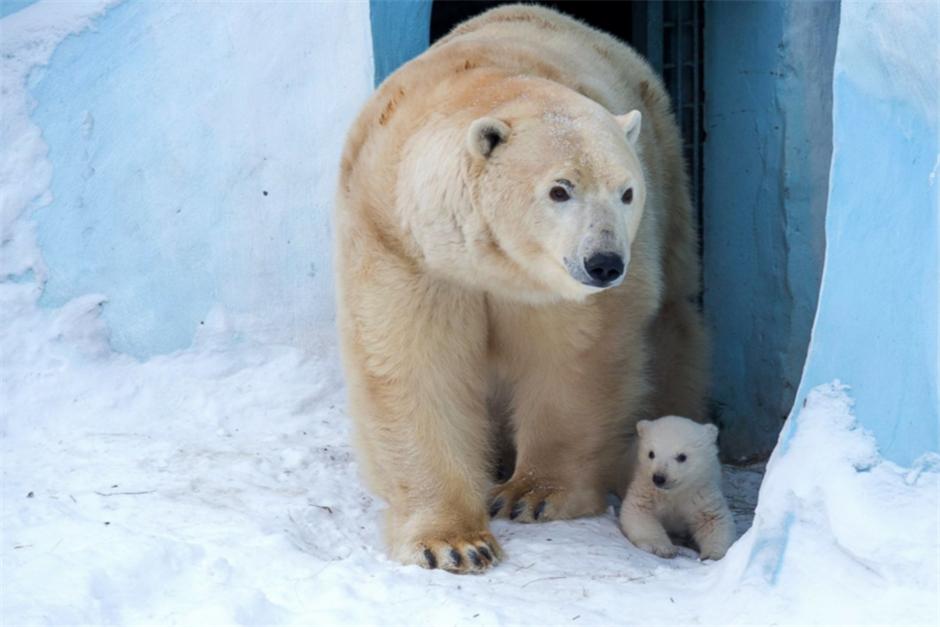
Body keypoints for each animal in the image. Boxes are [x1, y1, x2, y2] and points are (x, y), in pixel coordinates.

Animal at [334, 4, 708, 576]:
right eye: (560, 189)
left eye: (626, 191)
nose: (604, 263)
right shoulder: (400, 245)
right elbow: (413, 363)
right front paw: (453, 543)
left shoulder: (558, 291)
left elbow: (574, 360)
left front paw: (533, 494)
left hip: (669, 175)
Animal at [624, 418, 736, 560]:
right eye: (651, 454)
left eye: (682, 456)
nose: (659, 478)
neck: (674, 492)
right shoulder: (646, 488)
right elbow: (639, 510)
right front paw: (661, 548)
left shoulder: (701, 492)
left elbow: (713, 519)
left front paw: (712, 555)